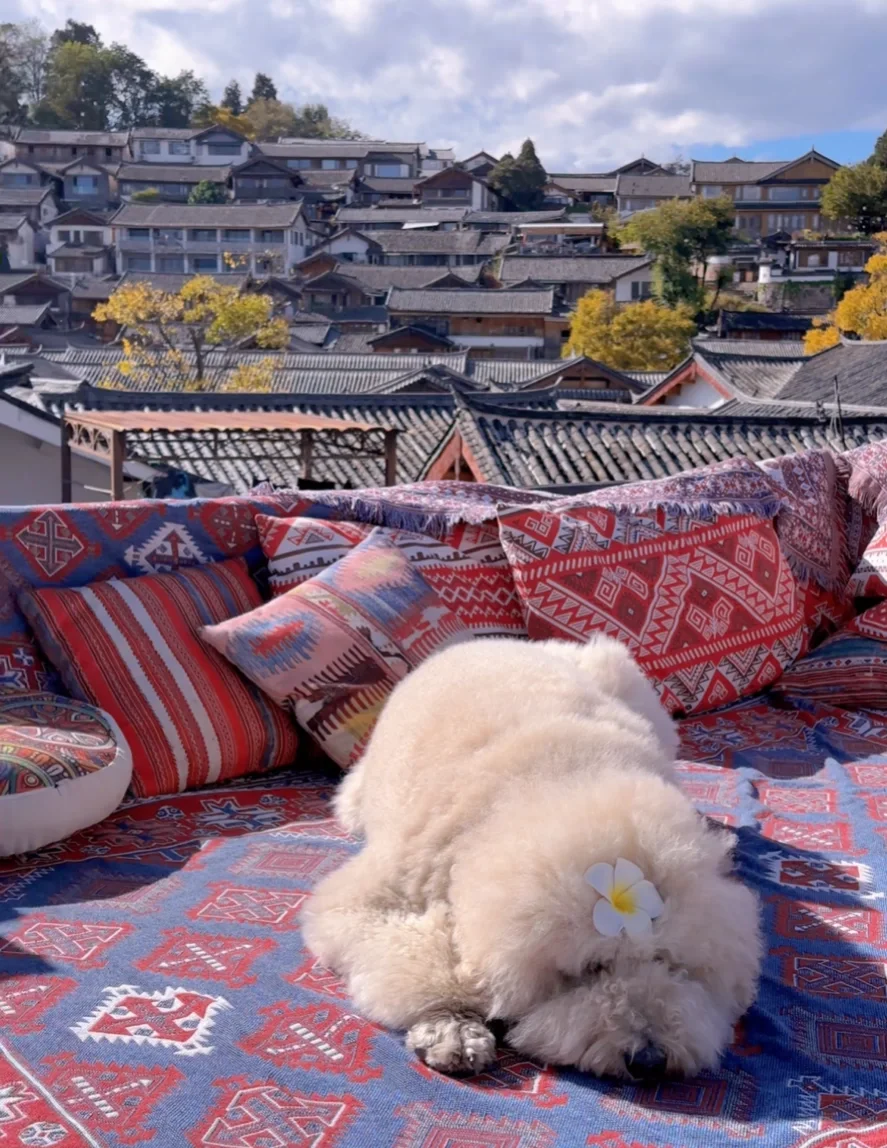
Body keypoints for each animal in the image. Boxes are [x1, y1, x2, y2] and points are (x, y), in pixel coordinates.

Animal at [300, 638, 757, 1074]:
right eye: (592, 967)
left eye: (668, 961)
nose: (649, 1059)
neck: (562, 779)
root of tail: (481, 642)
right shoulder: (373, 895)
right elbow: (423, 961)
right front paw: (453, 1025)